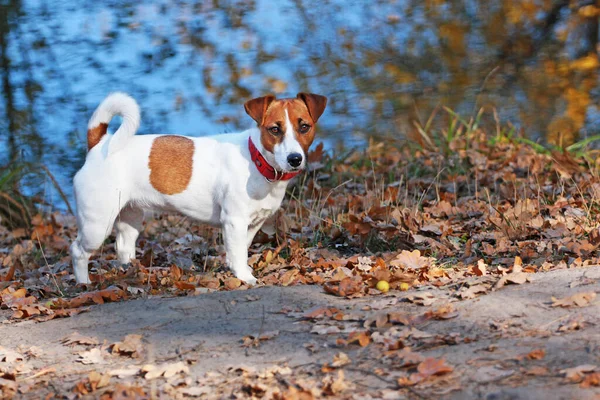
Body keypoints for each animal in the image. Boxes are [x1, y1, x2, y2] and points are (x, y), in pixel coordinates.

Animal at [70, 91, 328, 284]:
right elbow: (238, 253)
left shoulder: (252, 224)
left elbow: (240, 249)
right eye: (275, 129)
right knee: (78, 251)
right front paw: (245, 277)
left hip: (130, 217)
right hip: (97, 224)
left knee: (123, 246)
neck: (256, 159)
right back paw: (84, 283)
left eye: (304, 127)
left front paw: (238, 270)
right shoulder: (234, 221)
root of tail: (99, 143)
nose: (295, 159)